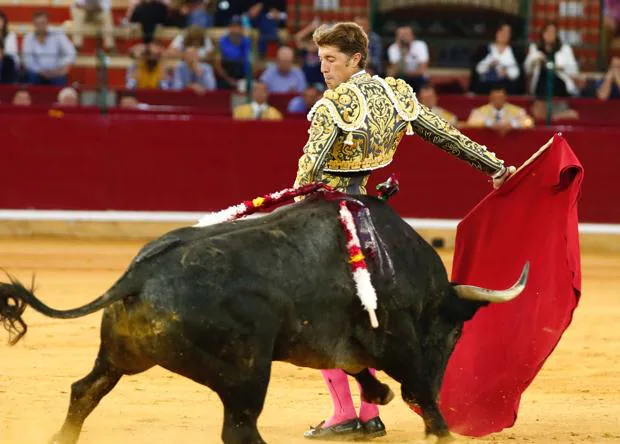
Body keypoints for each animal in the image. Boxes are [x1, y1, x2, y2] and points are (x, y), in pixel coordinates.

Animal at [0, 197, 528, 444]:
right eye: (455, 331)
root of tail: (137, 274)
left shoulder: (339, 339)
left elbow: (358, 366)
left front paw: (378, 396)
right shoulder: (398, 337)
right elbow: (414, 382)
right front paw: (440, 429)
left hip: (121, 355)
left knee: (85, 389)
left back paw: (61, 437)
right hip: (247, 372)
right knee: (239, 428)